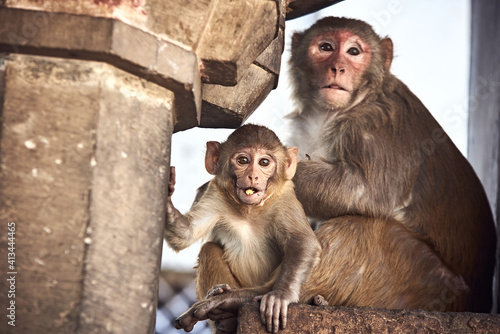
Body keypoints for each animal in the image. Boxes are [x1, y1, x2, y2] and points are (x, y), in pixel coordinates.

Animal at [164, 124, 320, 332]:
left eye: (264, 162)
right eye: (243, 160)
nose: (253, 176)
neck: (249, 210)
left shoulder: (285, 198)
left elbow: (303, 242)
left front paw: (280, 295)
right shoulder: (214, 193)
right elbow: (186, 234)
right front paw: (165, 200)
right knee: (208, 249)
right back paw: (225, 312)